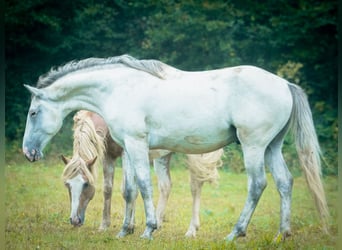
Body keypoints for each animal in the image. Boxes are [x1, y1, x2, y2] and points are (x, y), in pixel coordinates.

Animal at [22, 54, 328, 240]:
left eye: (34, 112)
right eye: (67, 185)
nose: (28, 152)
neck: (119, 88)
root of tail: (284, 84)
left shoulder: (135, 145)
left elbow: (144, 185)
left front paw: (148, 229)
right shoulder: (128, 148)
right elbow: (129, 189)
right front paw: (124, 230)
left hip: (253, 147)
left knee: (257, 185)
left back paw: (235, 233)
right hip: (271, 147)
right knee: (284, 182)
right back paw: (282, 234)